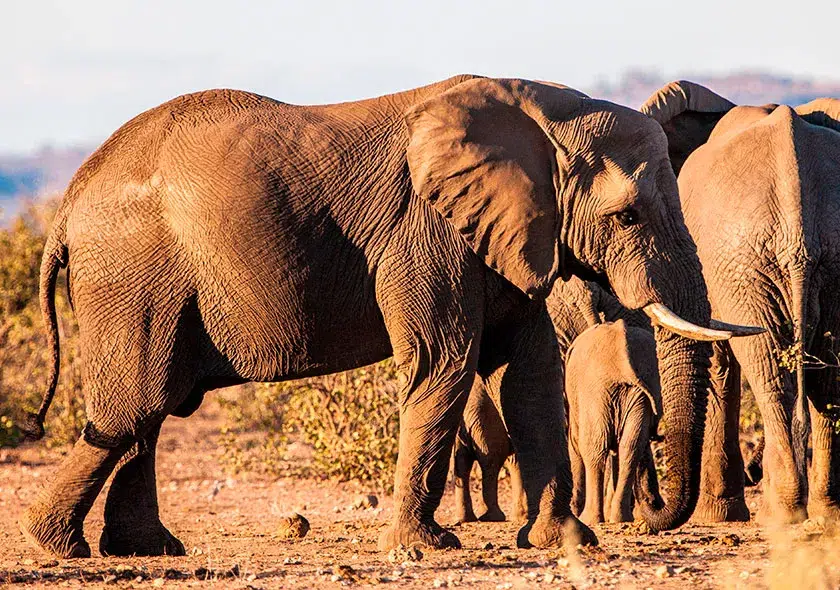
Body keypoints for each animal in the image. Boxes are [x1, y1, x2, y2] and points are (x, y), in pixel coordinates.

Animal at [566, 320, 661, 524]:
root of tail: (623, 360)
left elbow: (575, 443)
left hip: (596, 391)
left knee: (594, 449)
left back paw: (589, 519)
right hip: (635, 393)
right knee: (630, 448)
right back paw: (619, 518)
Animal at [642, 82, 840, 523]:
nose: (648, 503)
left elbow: (718, 363)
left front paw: (716, 515)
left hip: (743, 265)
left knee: (772, 377)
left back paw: (782, 514)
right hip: (789, 261)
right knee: (828, 380)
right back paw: (826, 512)